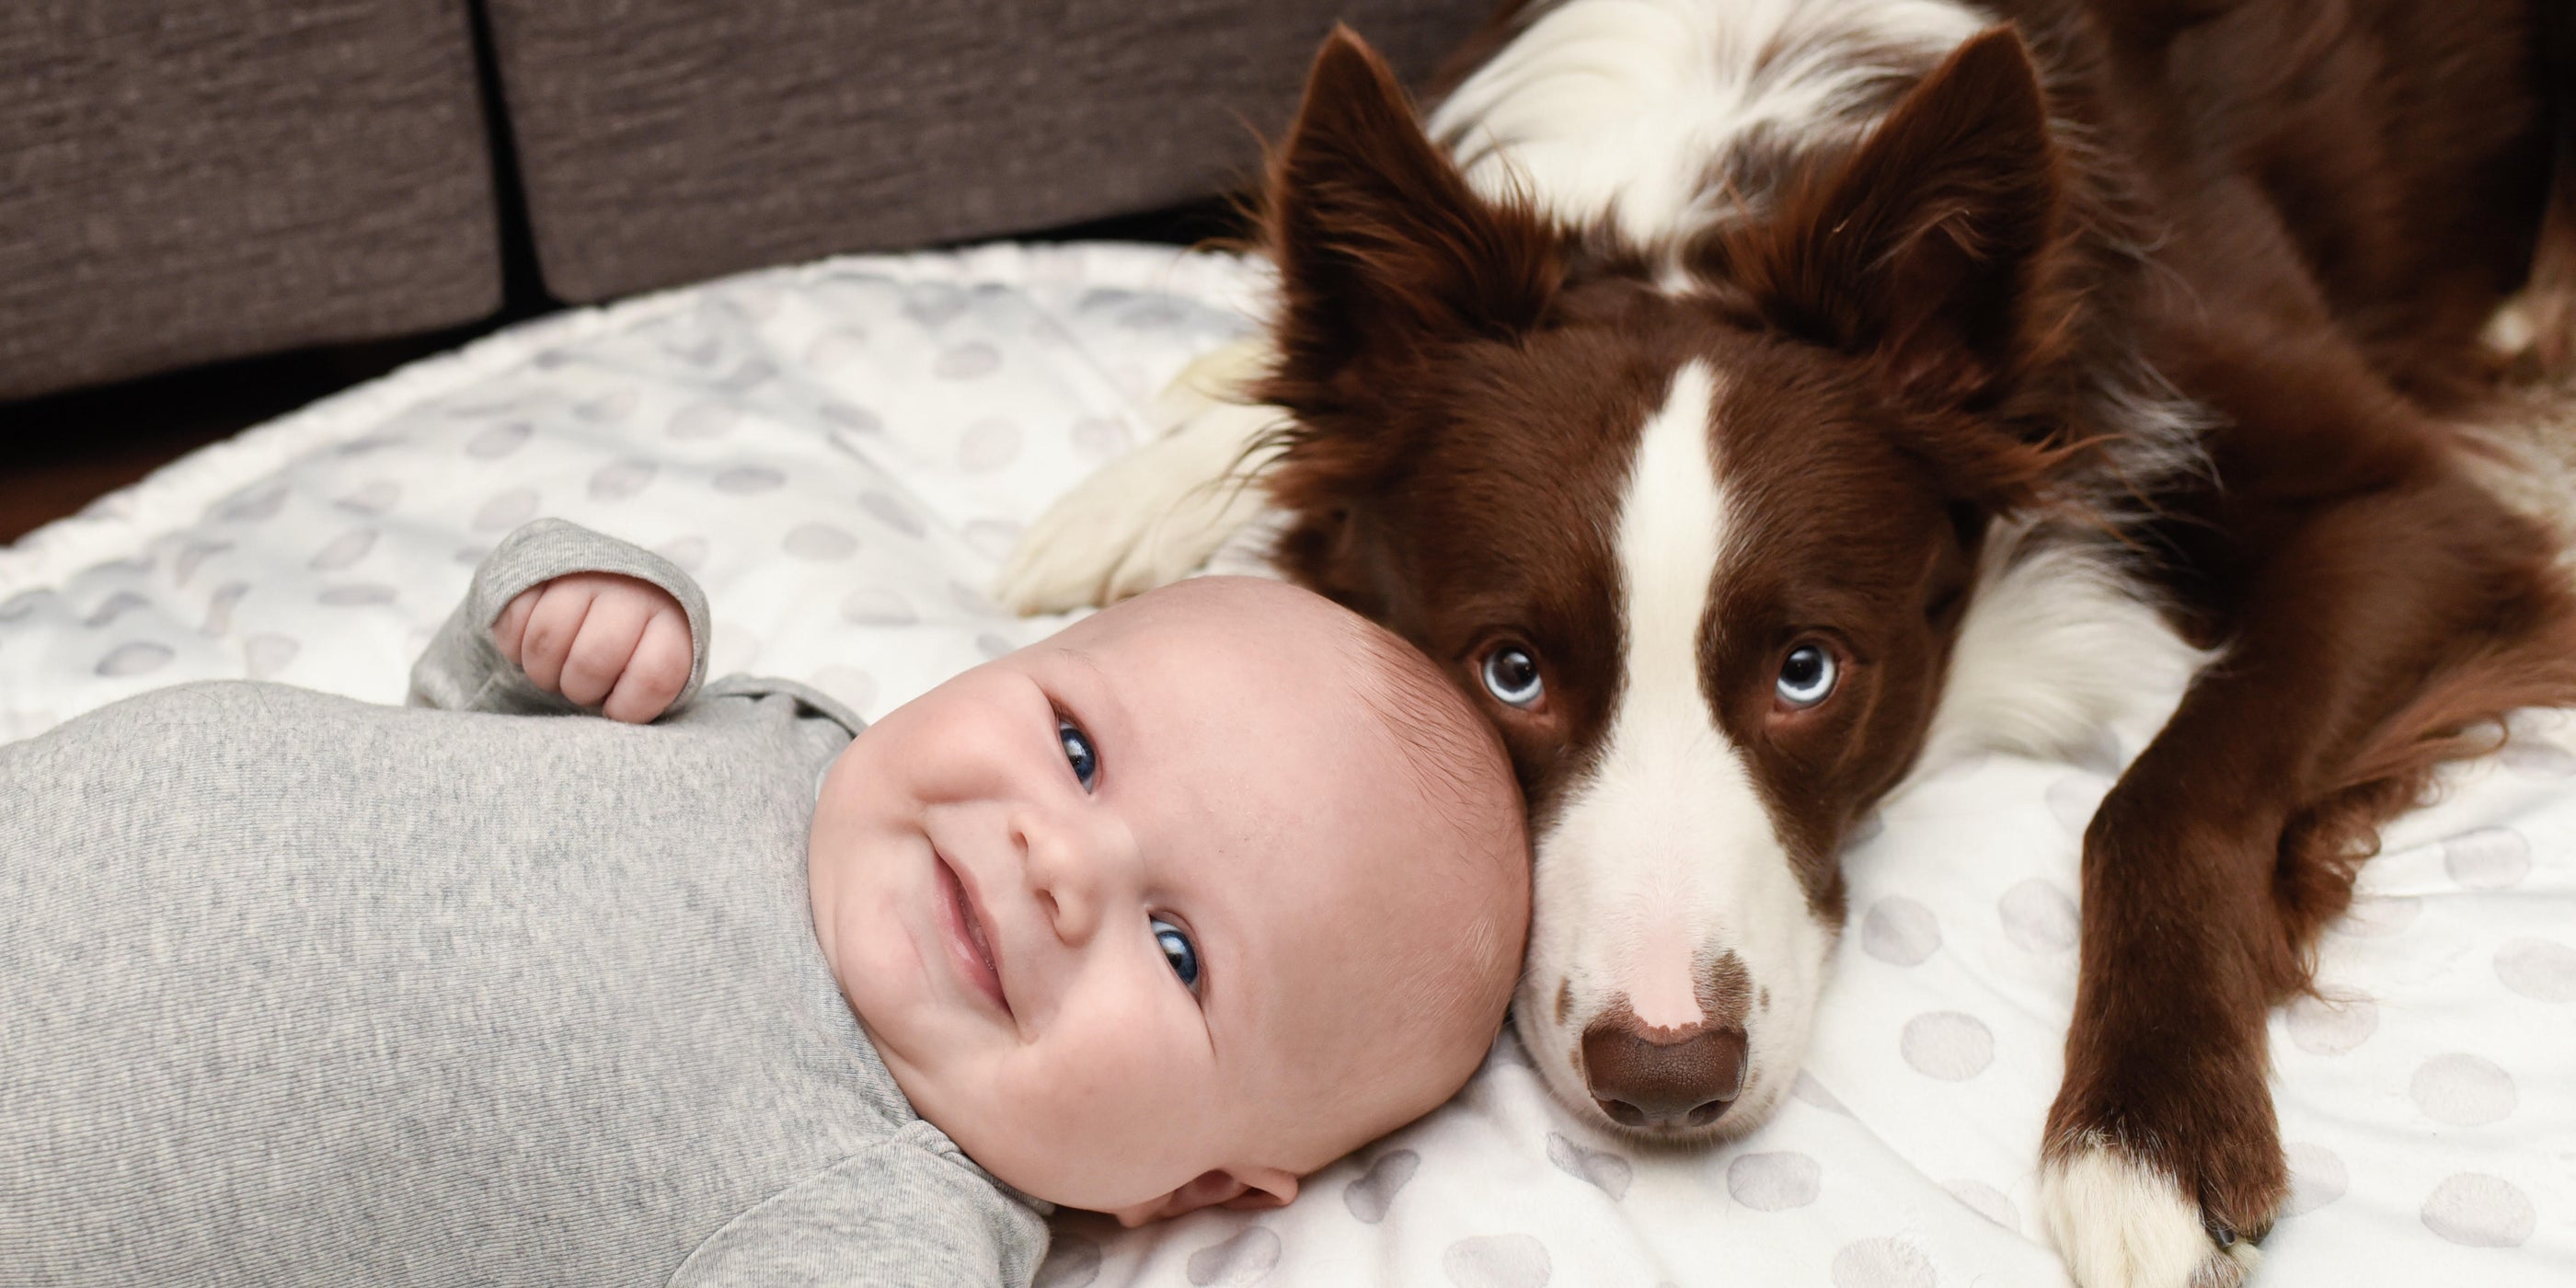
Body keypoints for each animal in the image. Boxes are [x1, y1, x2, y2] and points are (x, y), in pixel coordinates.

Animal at [994, 5, 2565, 1282]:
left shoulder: (2420, 512)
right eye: (1510, 672)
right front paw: (1149, 482)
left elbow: (2161, 797)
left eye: (1807, 671)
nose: (1665, 1079)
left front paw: (2147, 1143)